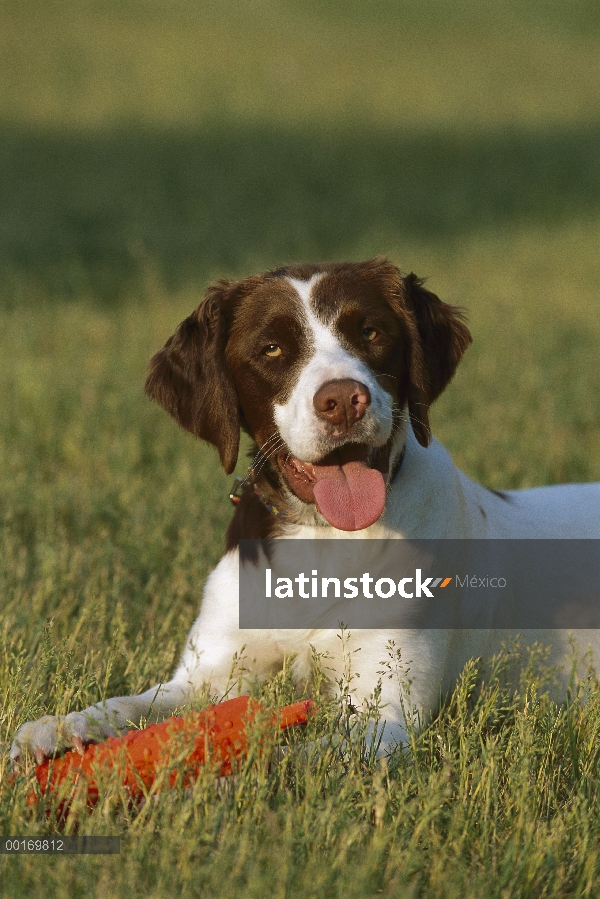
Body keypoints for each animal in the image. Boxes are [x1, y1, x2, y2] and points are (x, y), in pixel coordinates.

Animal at [10, 255, 600, 768]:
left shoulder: (386, 714)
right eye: (271, 348)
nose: (342, 401)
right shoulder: (211, 672)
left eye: (373, 333)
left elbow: (288, 756)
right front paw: (58, 729)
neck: (321, 539)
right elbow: (132, 704)